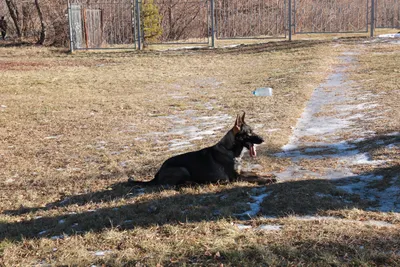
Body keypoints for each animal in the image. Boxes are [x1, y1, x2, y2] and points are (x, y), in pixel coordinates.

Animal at [128, 112, 276, 186]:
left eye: (253, 131)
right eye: (249, 133)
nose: (263, 139)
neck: (230, 150)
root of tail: (157, 173)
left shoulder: (240, 172)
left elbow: (254, 173)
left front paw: (268, 175)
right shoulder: (235, 178)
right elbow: (254, 178)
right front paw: (267, 180)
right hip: (182, 169)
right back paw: (191, 183)